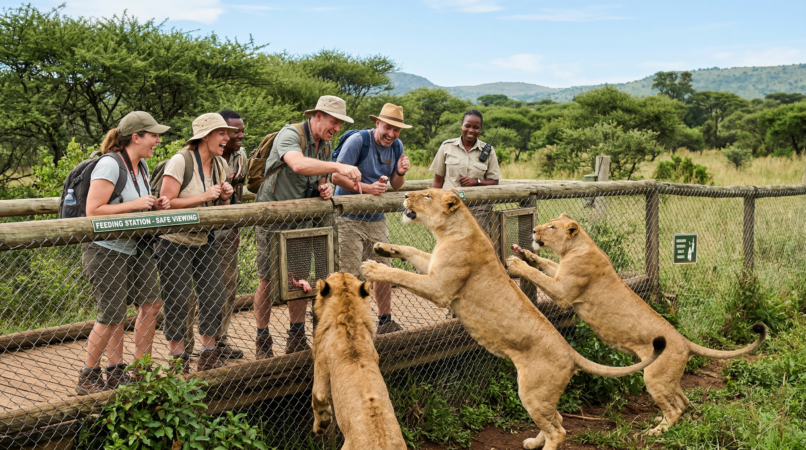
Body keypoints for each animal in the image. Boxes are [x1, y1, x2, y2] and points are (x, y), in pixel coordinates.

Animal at [360, 189, 666, 450]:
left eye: (426, 195)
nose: (405, 195)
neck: (449, 231)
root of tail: (571, 353)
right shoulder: (433, 268)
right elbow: (411, 251)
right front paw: (383, 248)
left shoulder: (440, 288)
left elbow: (402, 275)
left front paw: (373, 267)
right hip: (542, 395)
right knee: (558, 418)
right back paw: (532, 442)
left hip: (532, 391)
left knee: (559, 430)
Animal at [506, 213, 767, 435]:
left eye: (551, 227)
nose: (533, 232)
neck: (576, 248)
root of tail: (685, 341)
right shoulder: (560, 274)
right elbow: (544, 264)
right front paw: (527, 254)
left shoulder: (563, 293)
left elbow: (538, 276)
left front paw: (517, 264)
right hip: (668, 378)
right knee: (683, 401)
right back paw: (661, 419)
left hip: (654, 377)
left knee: (676, 408)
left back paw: (658, 430)